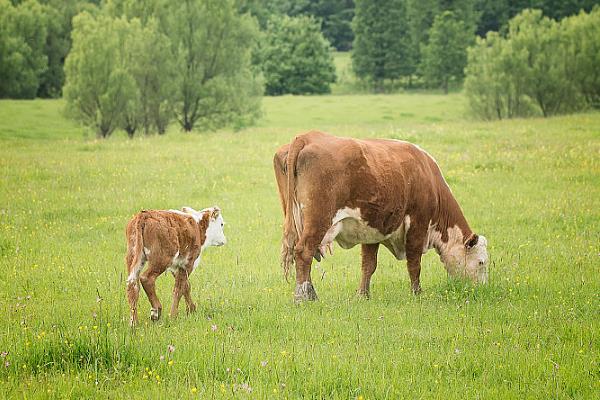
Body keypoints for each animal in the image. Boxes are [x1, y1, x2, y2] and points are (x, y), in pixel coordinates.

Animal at [274, 131, 490, 300]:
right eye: (481, 262)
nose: (481, 290)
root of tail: (306, 137)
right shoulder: (417, 223)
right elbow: (414, 263)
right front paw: (417, 293)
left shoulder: (372, 229)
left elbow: (369, 265)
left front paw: (363, 295)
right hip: (319, 219)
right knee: (304, 252)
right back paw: (305, 296)